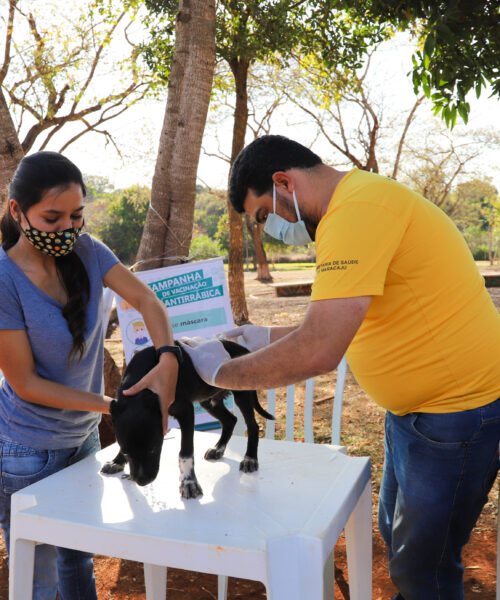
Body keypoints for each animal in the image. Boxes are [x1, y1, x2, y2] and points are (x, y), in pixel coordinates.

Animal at [100, 340, 274, 500]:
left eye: (153, 449)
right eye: (125, 451)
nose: (142, 481)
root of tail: (241, 348)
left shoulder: (186, 412)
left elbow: (185, 452)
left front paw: (189, 483)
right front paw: (117, 461)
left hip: (241, 393)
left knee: (252, 426)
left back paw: (250, 458)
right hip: (209, 401)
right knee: (230, 420)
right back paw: (218, 449)